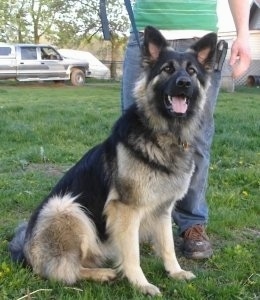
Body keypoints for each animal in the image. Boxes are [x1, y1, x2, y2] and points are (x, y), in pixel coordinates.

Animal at [9, 25, 217, 296]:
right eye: (168, 69)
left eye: (192, 71)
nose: (184, 83)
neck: (164, 134)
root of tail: (25, 251)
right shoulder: (126, 210)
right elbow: (132, 254)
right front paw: (141, 284)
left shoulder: (162, 210)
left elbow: (168, 246)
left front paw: (175, 272)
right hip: (66, 207)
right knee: (64, 271)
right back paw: (102, 274)